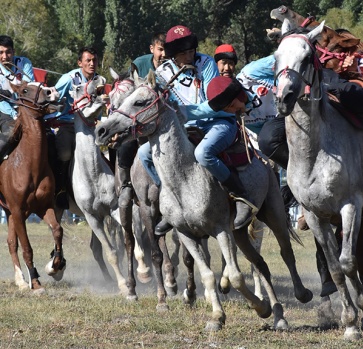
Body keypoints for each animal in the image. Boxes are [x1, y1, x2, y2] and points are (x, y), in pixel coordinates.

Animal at [0, 79, 66, 290]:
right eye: (25, 90)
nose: (52, 91)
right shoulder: (18, 211)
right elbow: (27, 247)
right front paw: (36, 283)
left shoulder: (43, 207)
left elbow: (57, 230)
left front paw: (55, 266)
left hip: (10, 212)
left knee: (11, 242)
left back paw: (21, 280)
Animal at [95, 72, 314, 330]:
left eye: (139, 102)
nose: (102, 129)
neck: (185, 178)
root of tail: (262, 159)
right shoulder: (186, 233)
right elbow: (207, 273)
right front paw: (218, 317)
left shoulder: (220, 229)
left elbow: (236, 276)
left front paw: (259, 308)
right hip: (239, 231)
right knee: (261, 263)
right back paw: (279, 315)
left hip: (272, 211)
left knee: (286, 251)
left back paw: (301, 294)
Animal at [274, 20, 363, 338]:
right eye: (276, 57)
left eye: (305, 58)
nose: (284, 98)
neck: (314, 154)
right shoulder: (314, 216)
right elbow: (336, 268)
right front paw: (351, 321)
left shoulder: (351, 206)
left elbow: (348, 262)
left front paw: (358, 311)